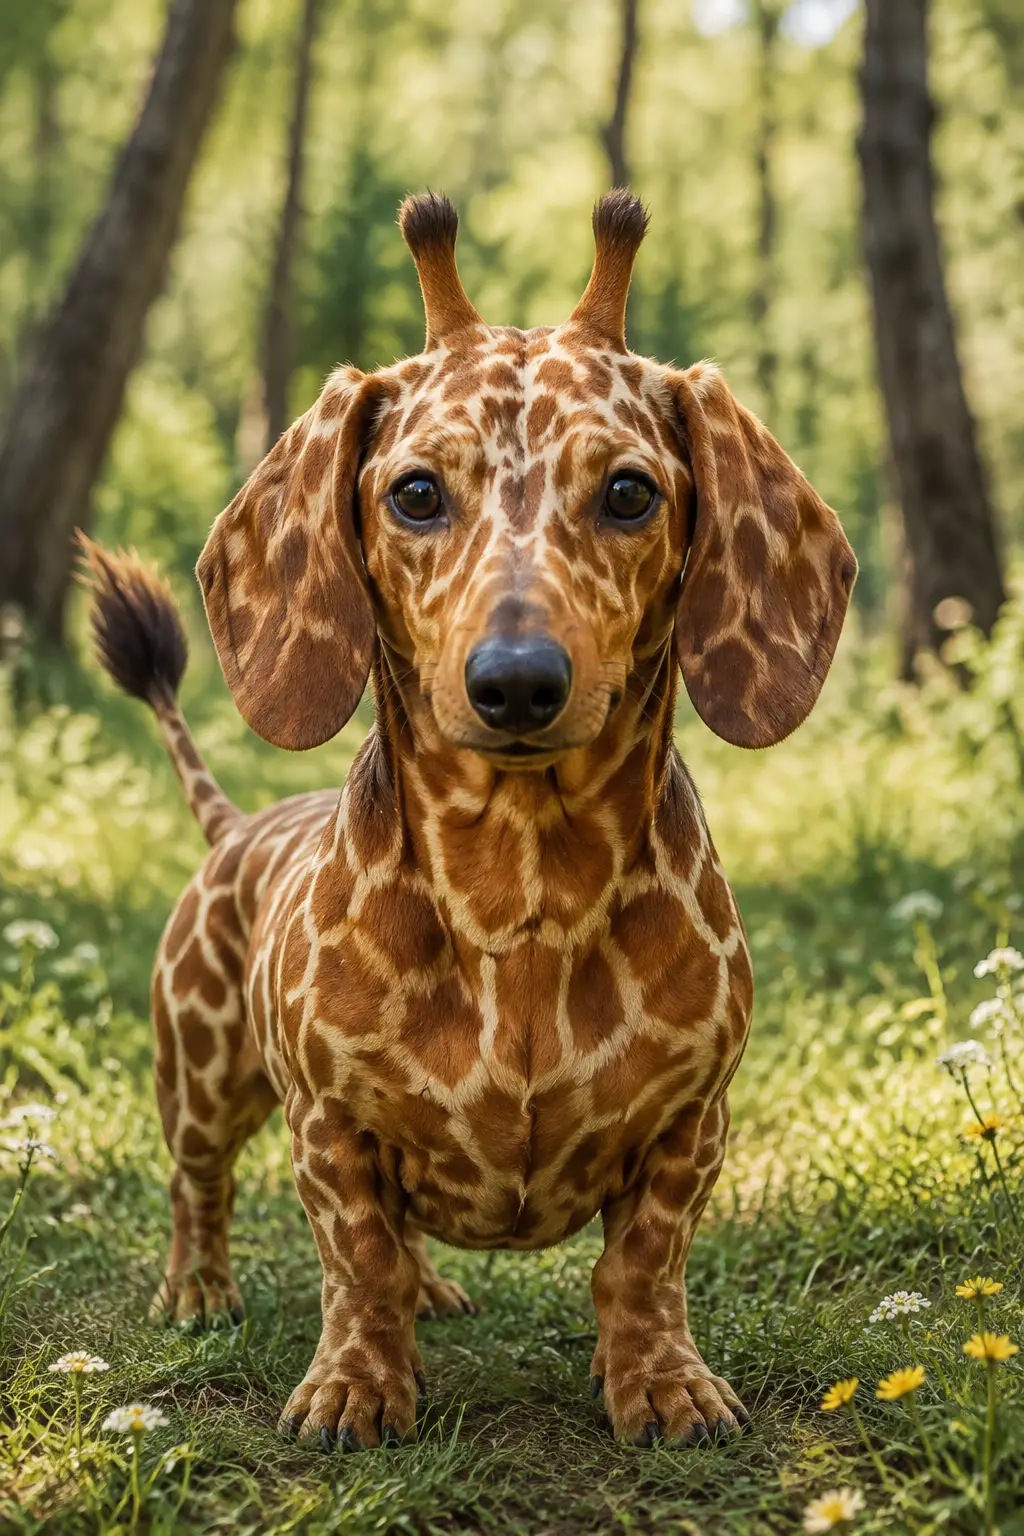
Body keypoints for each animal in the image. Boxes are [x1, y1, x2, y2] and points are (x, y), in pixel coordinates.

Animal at [82, 189, 856, 1452]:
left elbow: (642, 1266)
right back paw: (199, 1290)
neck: (522, 894)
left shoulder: (690, 1123)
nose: (516, 683)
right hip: (198, 1072)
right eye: (415, 492)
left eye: (629, 491)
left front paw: (661, 1381)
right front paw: (355, 1384)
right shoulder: (331, 1127)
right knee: (201, 1187)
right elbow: (356, 1261)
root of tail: (235, 826)